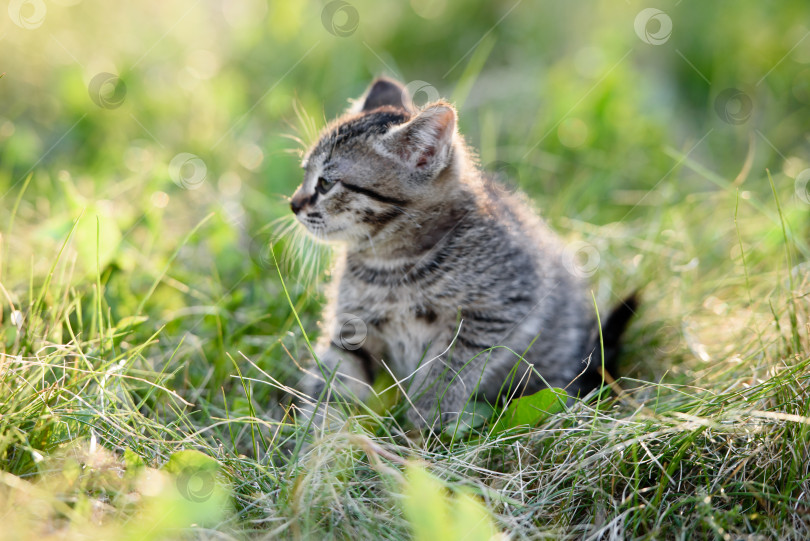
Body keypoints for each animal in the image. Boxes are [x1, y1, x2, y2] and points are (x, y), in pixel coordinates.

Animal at [288, 77, 636, 430]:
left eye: (326, 183)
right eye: (303, 173)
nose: (293, 204)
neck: (390, 265)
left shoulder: (500, 309)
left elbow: (451, 364)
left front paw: (427, 414)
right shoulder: (353, 324)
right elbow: (335, 376)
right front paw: (321, 434)